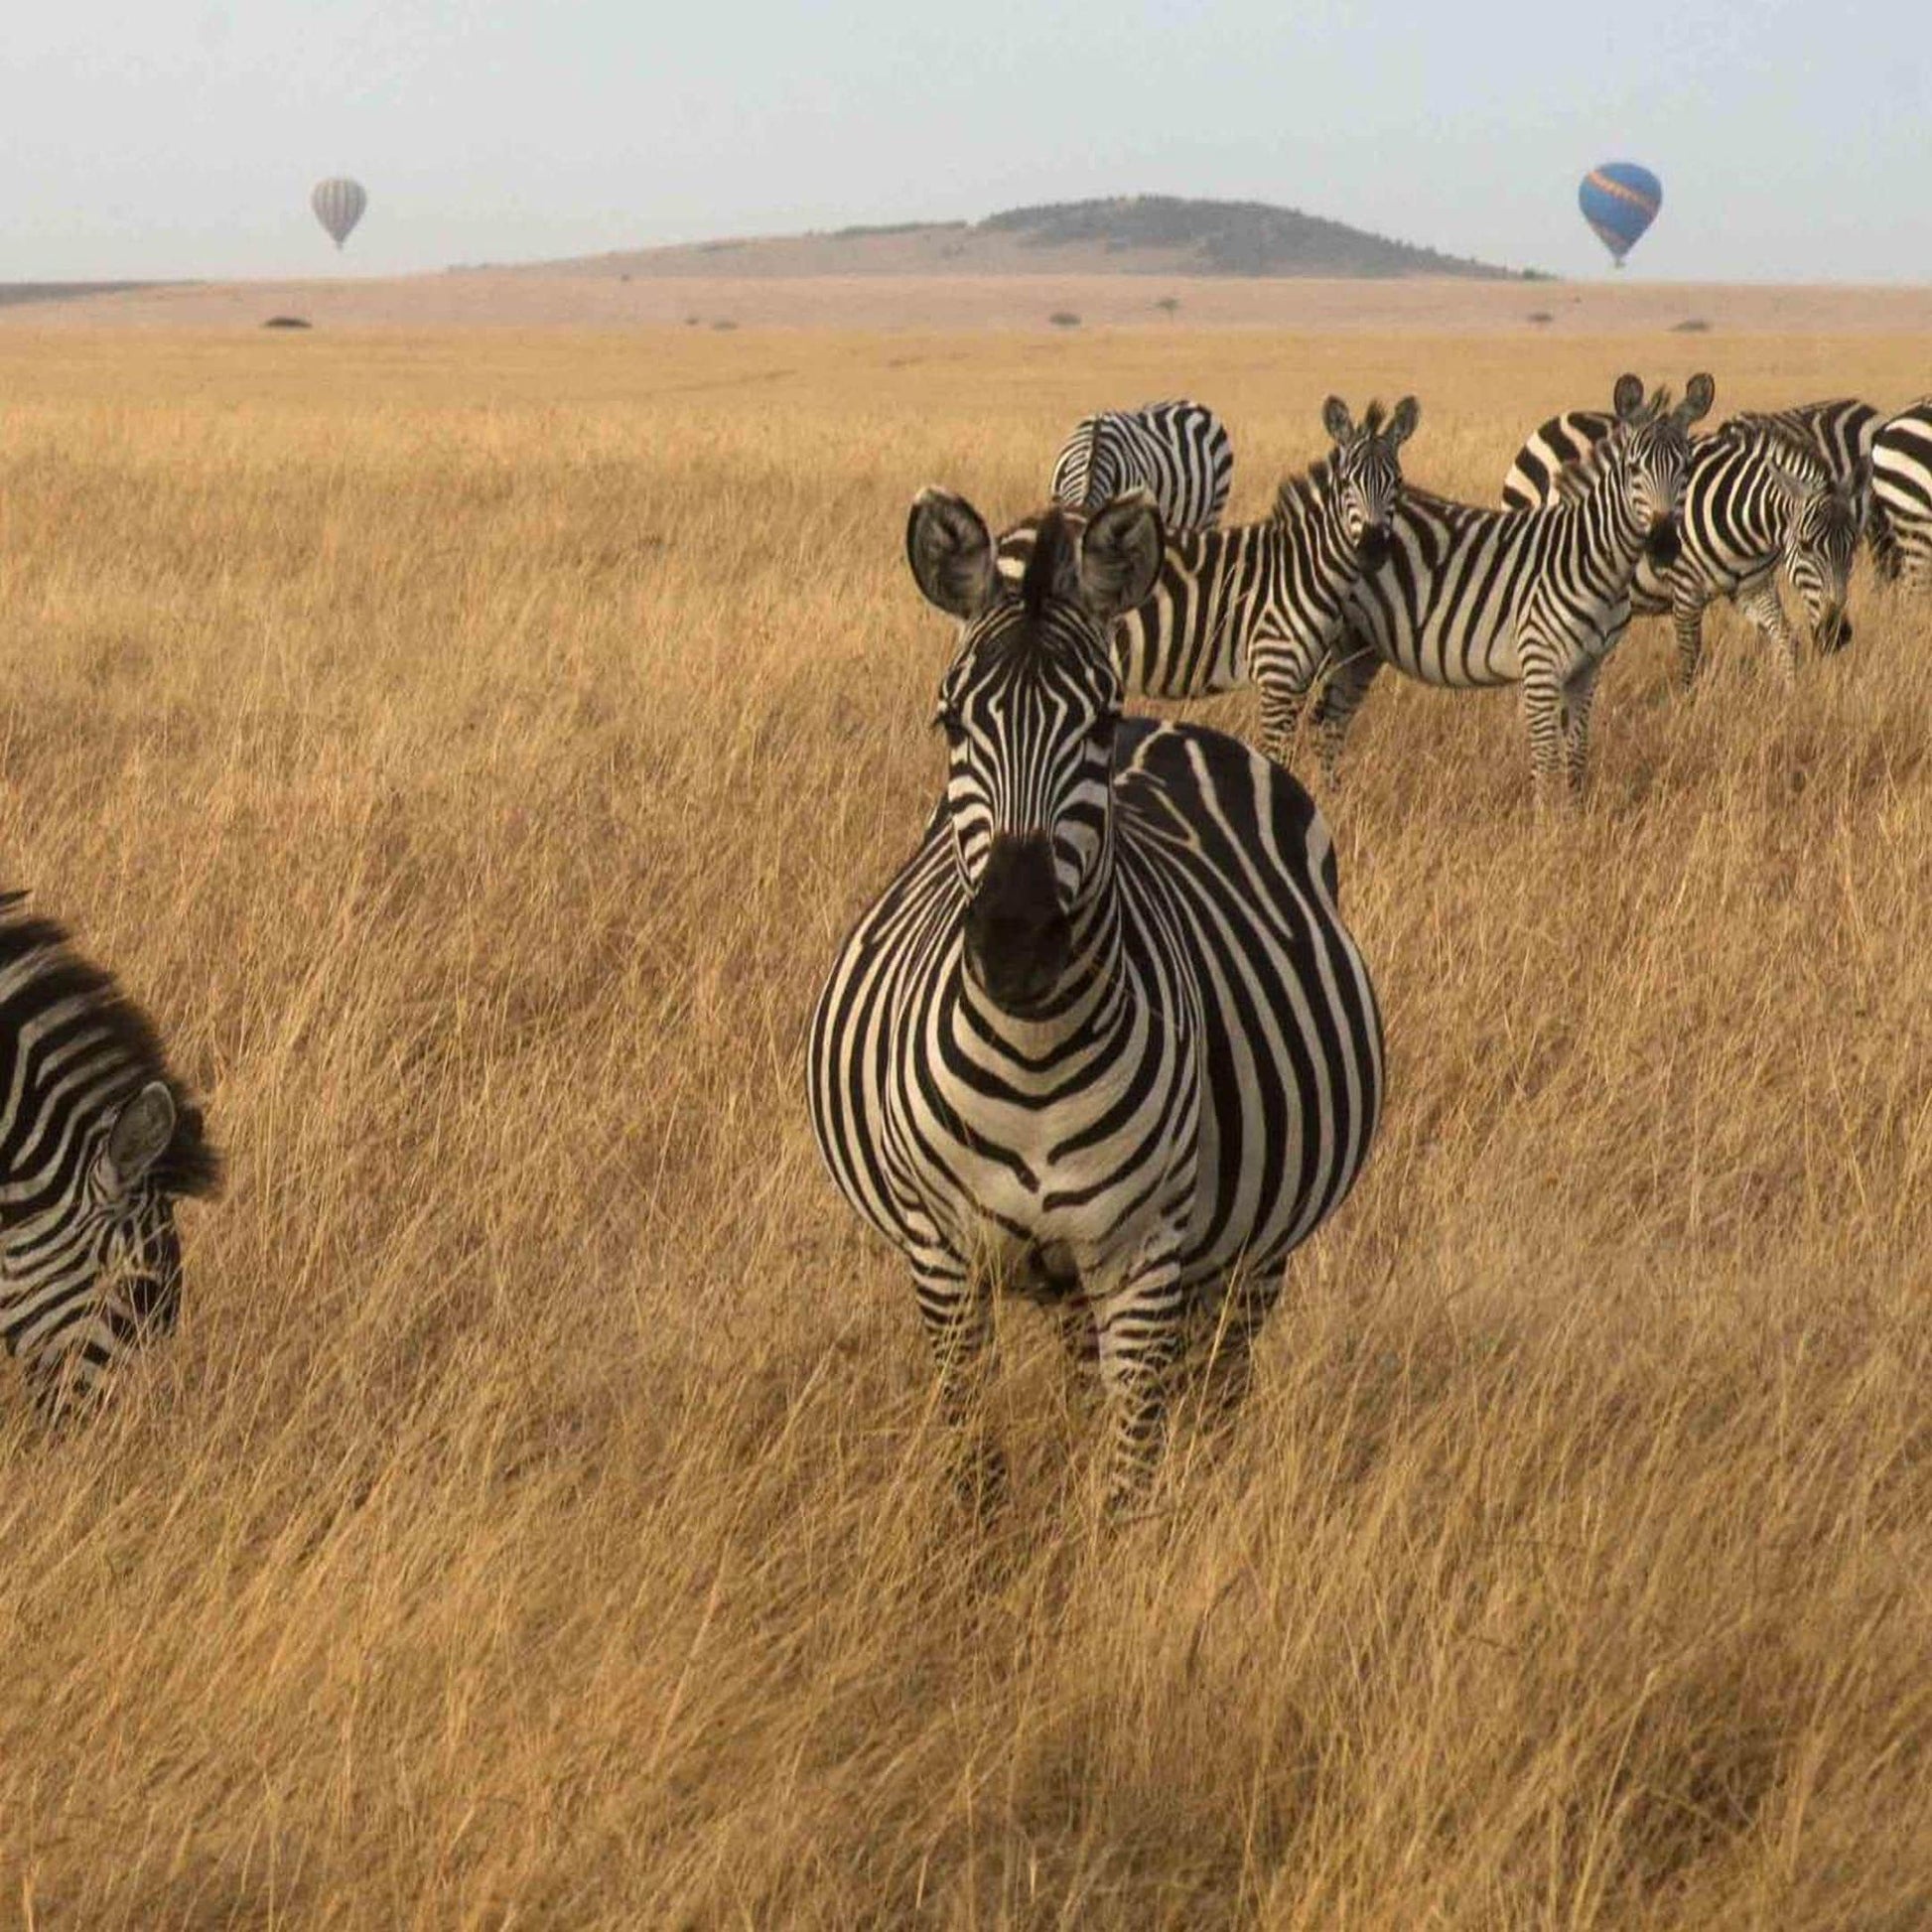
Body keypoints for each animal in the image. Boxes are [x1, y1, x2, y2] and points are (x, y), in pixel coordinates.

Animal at [808, 491, 1384, 1511]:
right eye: (950, 723)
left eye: (1098, 719)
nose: (1017, 943)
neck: (1032, 1053)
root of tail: (1174, 726)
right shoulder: (941, 1256)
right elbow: (974, 1468)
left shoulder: (1143, 1259)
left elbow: (1128, 1483)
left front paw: (1123, 1547)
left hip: (1255, 1254)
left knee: (1220, 1388)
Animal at [1316, 372, 1713, 800]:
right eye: (1634, 469)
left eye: (1687, 467)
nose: (1664, 544)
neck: (1590, 553)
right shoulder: (1539, 661)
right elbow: (1546, 757)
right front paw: (1546, 817)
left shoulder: (1588, 667)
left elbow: (1577, 751)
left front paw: (1575, 809)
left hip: (1359, 646)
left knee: (1331, 720)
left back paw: (1331, 793)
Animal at [1502, 411, 1863, 684]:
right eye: (1805, 545)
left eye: (1853, 548)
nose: (1837, 634)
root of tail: (1552, 424)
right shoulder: (1686, 592)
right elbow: (1691, 664)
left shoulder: (1751, 587)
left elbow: (1787, 641)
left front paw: (1789, 699)